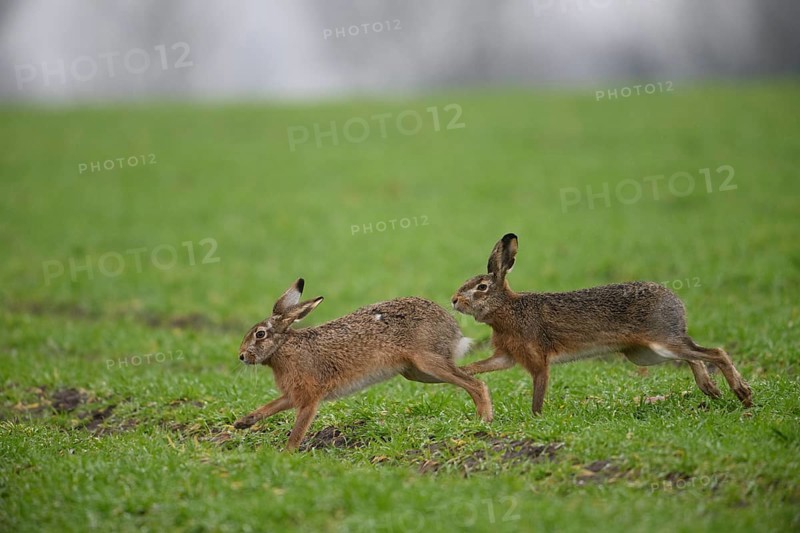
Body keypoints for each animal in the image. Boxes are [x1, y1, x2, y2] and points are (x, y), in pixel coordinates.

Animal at [234, 278, 493, 450]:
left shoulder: (310, 397)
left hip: (429, 362)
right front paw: (242, 423)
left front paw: (287, 453)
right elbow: (271, 406)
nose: (242, 356)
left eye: (260, 335)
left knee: (476, 384)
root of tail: (453, 328)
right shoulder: (293, 394)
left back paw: (484, 420)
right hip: (418, 372)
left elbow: (298, 429)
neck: (283, 348)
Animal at [451, 233, 752, 415]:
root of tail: (676, 302)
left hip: (661, 341)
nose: (454, 300)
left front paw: (536, 417)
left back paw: (742, 393)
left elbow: (539, 388)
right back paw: (710, 388)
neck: (507, 309)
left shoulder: (538, 361)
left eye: (481, 287)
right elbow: (483, 366)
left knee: (714, 352)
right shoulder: (508, 356)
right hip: (646, 354)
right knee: (694, 354)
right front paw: (463, 371)